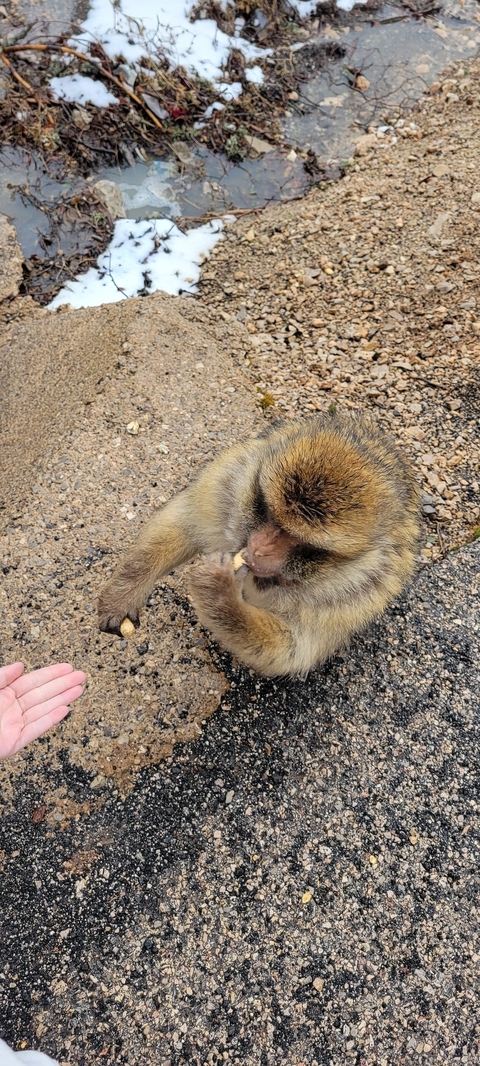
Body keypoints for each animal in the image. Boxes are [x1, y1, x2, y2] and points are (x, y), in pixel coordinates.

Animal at [98, 413, 420, 677]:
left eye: (301, 542)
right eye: (266, 511)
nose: (261, 547)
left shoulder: (357, 594)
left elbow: (291, 650)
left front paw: (220, 595)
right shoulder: (229, 482)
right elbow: (184, 523)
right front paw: (123, 593)